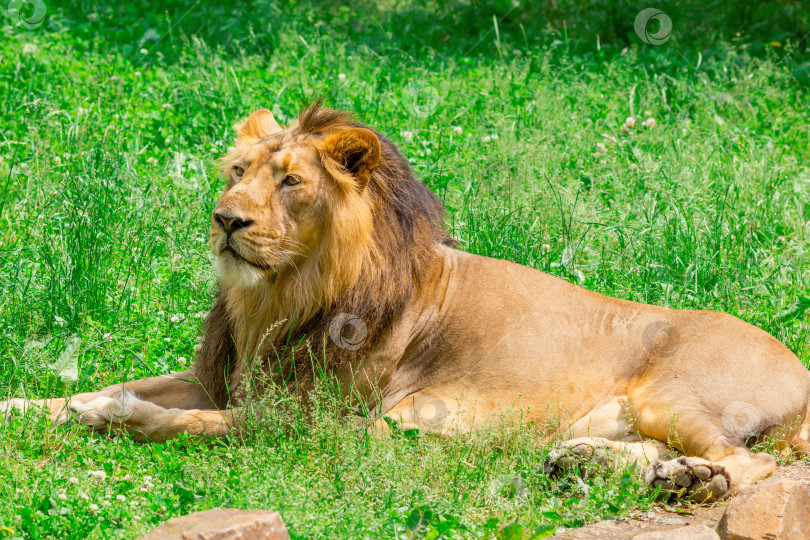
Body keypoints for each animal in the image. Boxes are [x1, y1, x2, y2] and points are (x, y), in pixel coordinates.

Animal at [1, 101, 808, 502]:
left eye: (291, 181)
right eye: (237, 171)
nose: (227, 220)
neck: (274, 301)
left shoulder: (317, 423)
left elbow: (181, 421)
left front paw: (119, 418)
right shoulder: (221, 375)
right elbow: (107, 387)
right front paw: (29, 408)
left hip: (676, 393)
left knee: (752, 466)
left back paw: (693, 484)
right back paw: (599, 465)